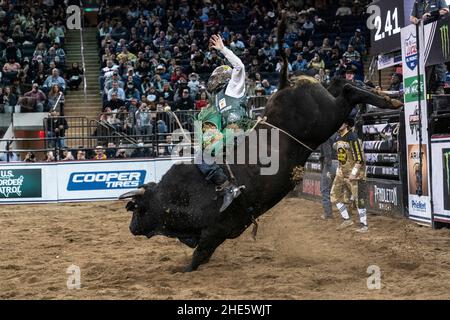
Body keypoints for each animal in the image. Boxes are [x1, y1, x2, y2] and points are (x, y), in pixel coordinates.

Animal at [119, 76, 400, 272]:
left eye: (138, 209)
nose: (131, 228)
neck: (173, 197)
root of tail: (288, 85)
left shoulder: (215, 231)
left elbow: (198, 256)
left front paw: (181, 269)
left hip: (325, 118)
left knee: (347, 93)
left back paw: (389, 100)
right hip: (325, 105)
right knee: (340, 84)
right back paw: (380, 92)